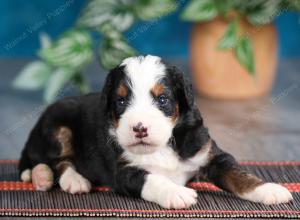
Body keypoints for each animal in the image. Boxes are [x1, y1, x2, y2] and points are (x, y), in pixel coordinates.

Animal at [19, 54, 292, 208]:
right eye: (121, 101)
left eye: (162, 100)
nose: (139, 128)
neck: (164, 144)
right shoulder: (125, 171)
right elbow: (153, 178)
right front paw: (176, 193)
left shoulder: (209, 154)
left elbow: (239, 174)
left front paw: (270, 190)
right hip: (57, 127)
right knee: (55, 161)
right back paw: (66, 179)